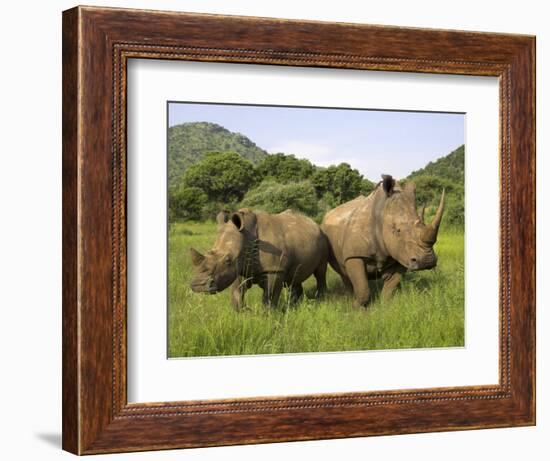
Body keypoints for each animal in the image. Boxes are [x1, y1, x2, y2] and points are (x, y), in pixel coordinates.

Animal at [191, 208, 328, 310]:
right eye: (208, 253)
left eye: (228, 260)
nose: (199, 286)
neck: (246, 236)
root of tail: (315, 223)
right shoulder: (241, 267)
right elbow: (237, 292)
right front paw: (240, 312)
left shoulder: (274, 269)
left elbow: (269, 296)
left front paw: (268, 314)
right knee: (295, 276)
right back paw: (295, 305)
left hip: (323, 237)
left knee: (320, 272)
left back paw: (320, 299)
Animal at [322, 174, 446, 308]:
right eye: (398, 230)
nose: (426, 261)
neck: (381, 214)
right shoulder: (354, 255)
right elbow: (362, 288)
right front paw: (356, 307)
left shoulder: (401, 254)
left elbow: (390, 287)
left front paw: (385, 306)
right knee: (343, 272)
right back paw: (349, 297)